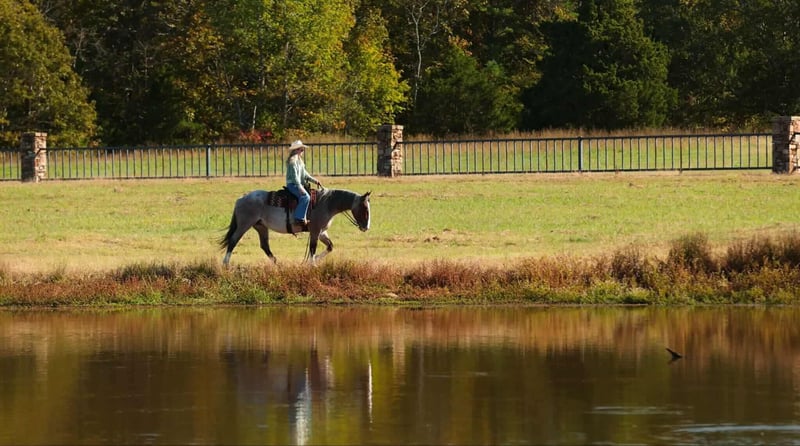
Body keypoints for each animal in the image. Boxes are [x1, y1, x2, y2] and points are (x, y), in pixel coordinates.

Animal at [220, 186, 371, 266]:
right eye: (364, 208)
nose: (366, 227)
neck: (326, 203)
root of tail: (241, 199)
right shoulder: (315, 231)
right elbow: (313, 248)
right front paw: (312, 264)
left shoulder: (322, 232)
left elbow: (330, 246)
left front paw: (314, 261)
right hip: (244, 225)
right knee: (233, 241)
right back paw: (226, 264)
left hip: (261, 227)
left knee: (264, 246)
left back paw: (277, 263)